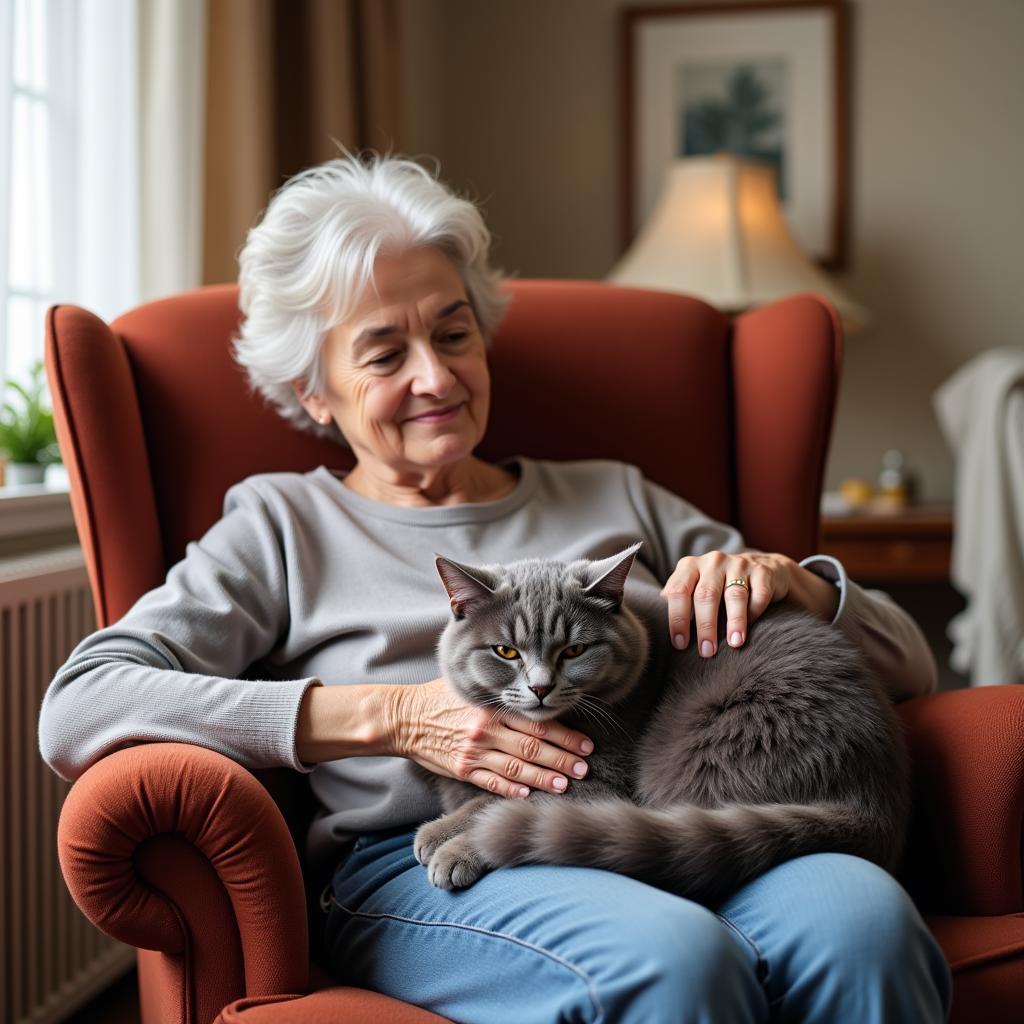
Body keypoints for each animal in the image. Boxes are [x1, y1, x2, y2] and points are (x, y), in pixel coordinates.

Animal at [411, 544, 909, 905]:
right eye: (506, 652)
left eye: (574, 651)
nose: (540, 688)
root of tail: (876, 797)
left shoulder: (600, 779)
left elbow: (512, 799)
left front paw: (447, 842)